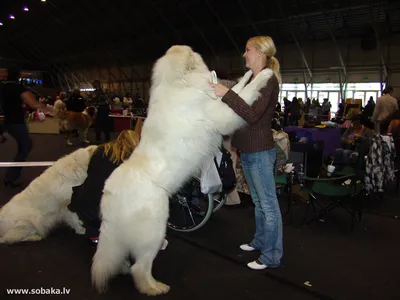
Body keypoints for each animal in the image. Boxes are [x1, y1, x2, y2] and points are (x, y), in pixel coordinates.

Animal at [92, 45, 274, 296]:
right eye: (194, 52)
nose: (196, 51)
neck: (180, 80)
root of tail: (109, 194)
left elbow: (237, 90)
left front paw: (248, 74)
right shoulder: (221, 114)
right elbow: (244, 95)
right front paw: (265, 75)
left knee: (122, 258)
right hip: (154, 230)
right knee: (140, 267)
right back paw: (154, 287)